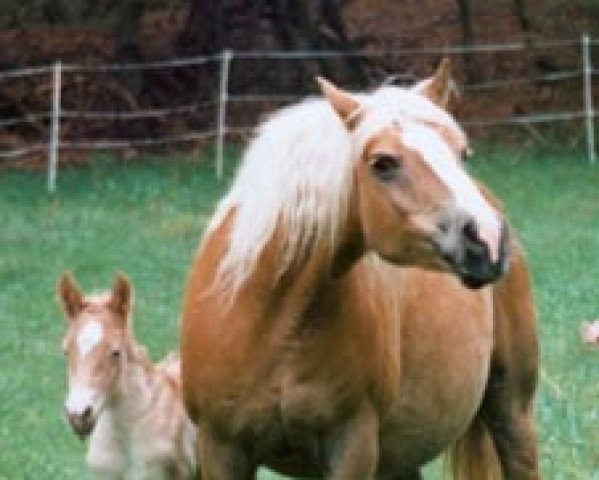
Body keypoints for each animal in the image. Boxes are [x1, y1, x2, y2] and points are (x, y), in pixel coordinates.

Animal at [180, 61, 540, 480]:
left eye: (461, 153)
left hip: (512, 413)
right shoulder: (220, 448)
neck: (271, 320)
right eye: (382, 163)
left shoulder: (353, 444)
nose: (489, 240)